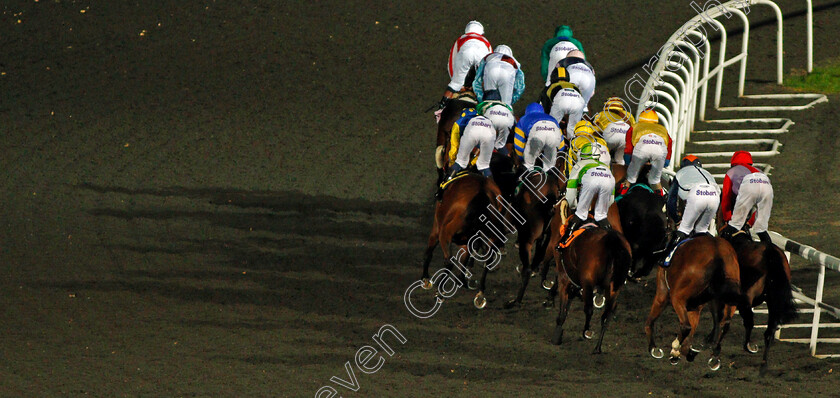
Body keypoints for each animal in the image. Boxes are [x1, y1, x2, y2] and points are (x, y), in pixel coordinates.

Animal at [420, 172, 506, 308]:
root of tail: (482, 194)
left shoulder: (438, 228)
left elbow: (430, 252)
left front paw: (426, 279)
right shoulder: (467, 243)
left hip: (444, 232)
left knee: (448, 261)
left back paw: (440, 293)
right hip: (492, 237)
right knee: (487, 262)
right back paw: (479, 294)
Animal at [644, 235, 740, 368]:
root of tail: (718, 254)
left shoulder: (663, 292)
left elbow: (651, 321)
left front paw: (654, 348)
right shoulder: (695, 307)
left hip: (677, 297)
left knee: (686, 326)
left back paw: (675, 349)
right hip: (728, 299)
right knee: (724, 324)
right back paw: (713, 355)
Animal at [712, 232, 796, 374]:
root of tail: (770, 253)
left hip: (745, 299)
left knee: (747, 321)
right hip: (773, 302)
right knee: (768, 331)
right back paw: (763, 365)